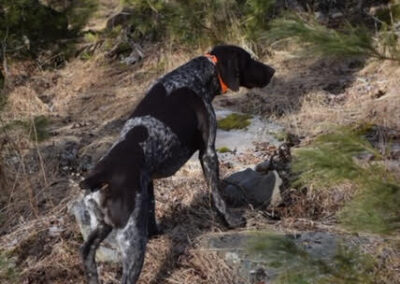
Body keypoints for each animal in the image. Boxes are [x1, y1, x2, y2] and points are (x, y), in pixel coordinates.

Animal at [80, 45, 276, 282]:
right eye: (249, 59)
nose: (273, 71)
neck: (196, 76)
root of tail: (100, 177)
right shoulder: (208, 153)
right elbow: (217, 195)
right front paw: (230, 220)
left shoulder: (148, 181)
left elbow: (152, 209)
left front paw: (156, 231)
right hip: (132, 243)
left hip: (101, 228)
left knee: (87, 254)